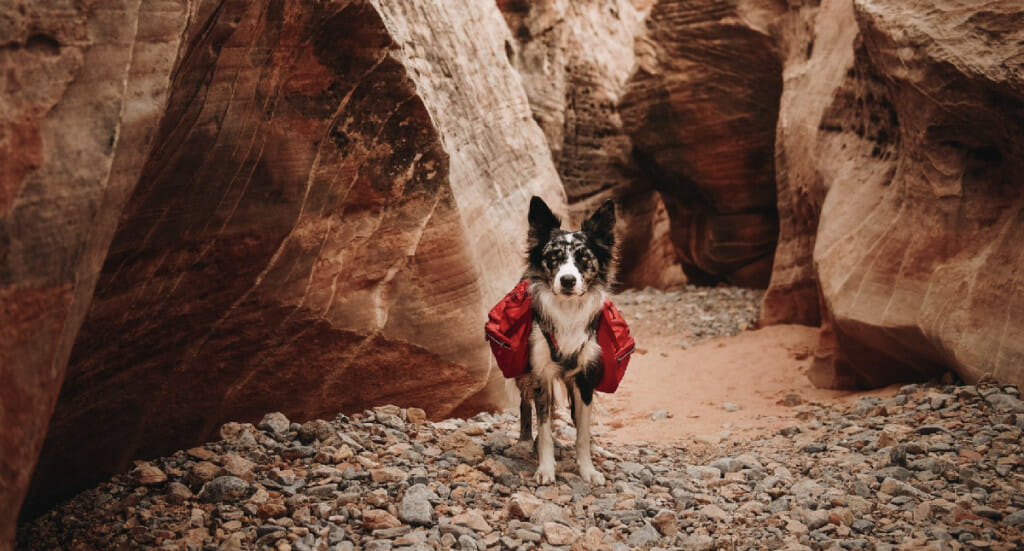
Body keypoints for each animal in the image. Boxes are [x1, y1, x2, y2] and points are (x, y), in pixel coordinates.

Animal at [516, 195, 610, 483]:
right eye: (553, 257)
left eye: (584, 258)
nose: (567, 280)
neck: (568, 312)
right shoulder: (541, 374)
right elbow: (546, 429)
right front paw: (545, 469)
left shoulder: (586, 375)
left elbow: (582, 429)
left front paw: (587, 469)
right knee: (525, 403)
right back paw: (524, 440)